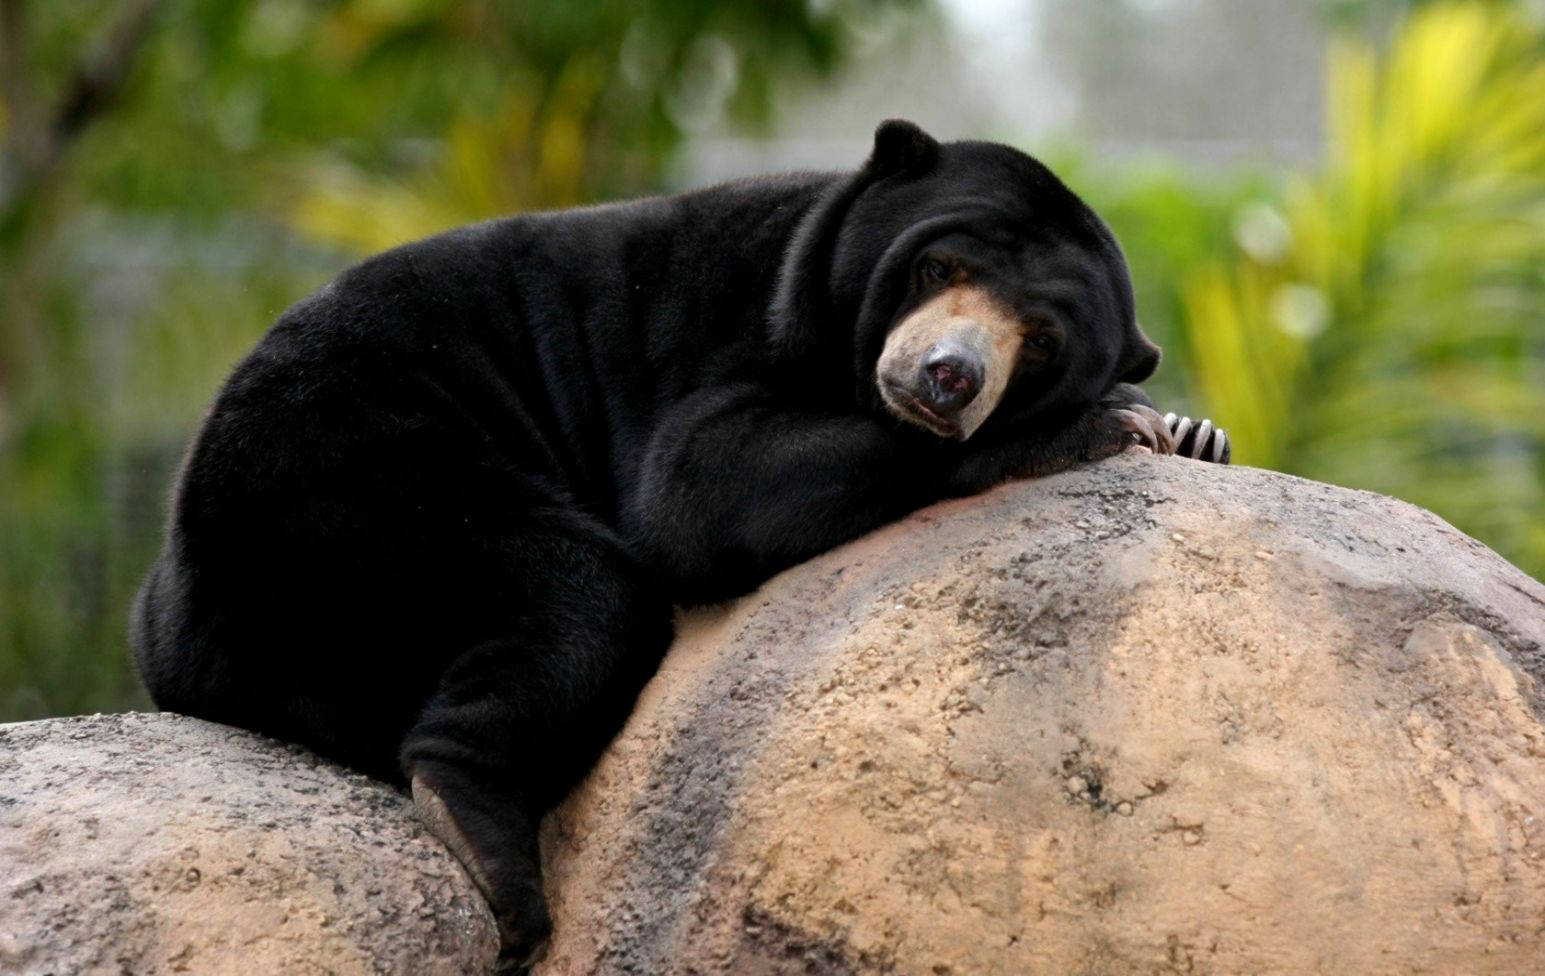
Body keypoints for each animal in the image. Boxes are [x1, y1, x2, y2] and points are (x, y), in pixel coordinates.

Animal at [131, 119, 1228, 971]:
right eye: (939, 268)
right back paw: (486, 847)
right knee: (581, 598)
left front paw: (1193, 432)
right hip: (348, 473)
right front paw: (1107, 423)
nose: (948, 377)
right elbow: (697, 489)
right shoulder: (724, 329)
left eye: (1039, 342)